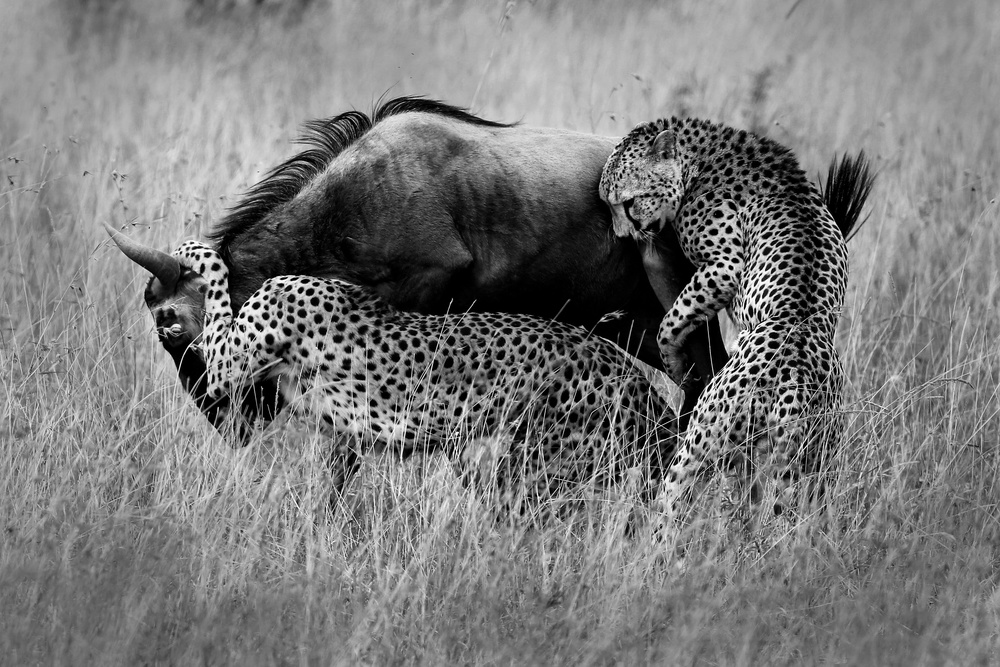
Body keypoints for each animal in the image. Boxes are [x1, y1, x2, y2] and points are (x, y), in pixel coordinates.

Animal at [599, 117, 851, 519]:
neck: (702, 156)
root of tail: (795, 373)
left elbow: (672, 320)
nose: (623, 236)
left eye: (629, 201)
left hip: (703, 434)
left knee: (671, 499)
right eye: (606, 204)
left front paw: (673, 359)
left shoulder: (724, 266)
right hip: (819, 458)